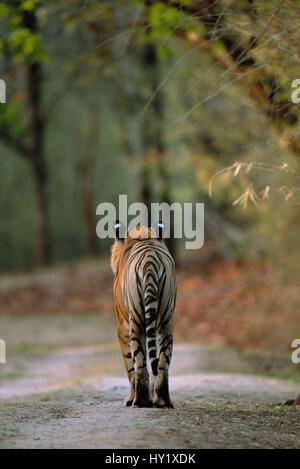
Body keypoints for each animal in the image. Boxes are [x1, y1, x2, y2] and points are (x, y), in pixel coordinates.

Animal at [110, 221, 176, 408]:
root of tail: (150, 260)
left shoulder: (122, 326)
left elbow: (129, 363)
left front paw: (129, 398)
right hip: (165, 320)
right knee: (162, 361)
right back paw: (162, 400)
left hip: (136, 321)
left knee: (138, 360)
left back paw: (139, 400)